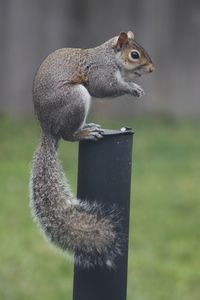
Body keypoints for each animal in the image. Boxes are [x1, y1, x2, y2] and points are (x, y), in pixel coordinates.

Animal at [29, 31, 155, 268]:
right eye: (134, 54)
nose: (152, 69)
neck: (110, 57)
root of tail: (49, 129)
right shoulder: (99, 72)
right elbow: (104, 87)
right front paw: (131, 88)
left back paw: (88, 127)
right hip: (75, 99)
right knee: (69, 135)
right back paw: (85, 133)